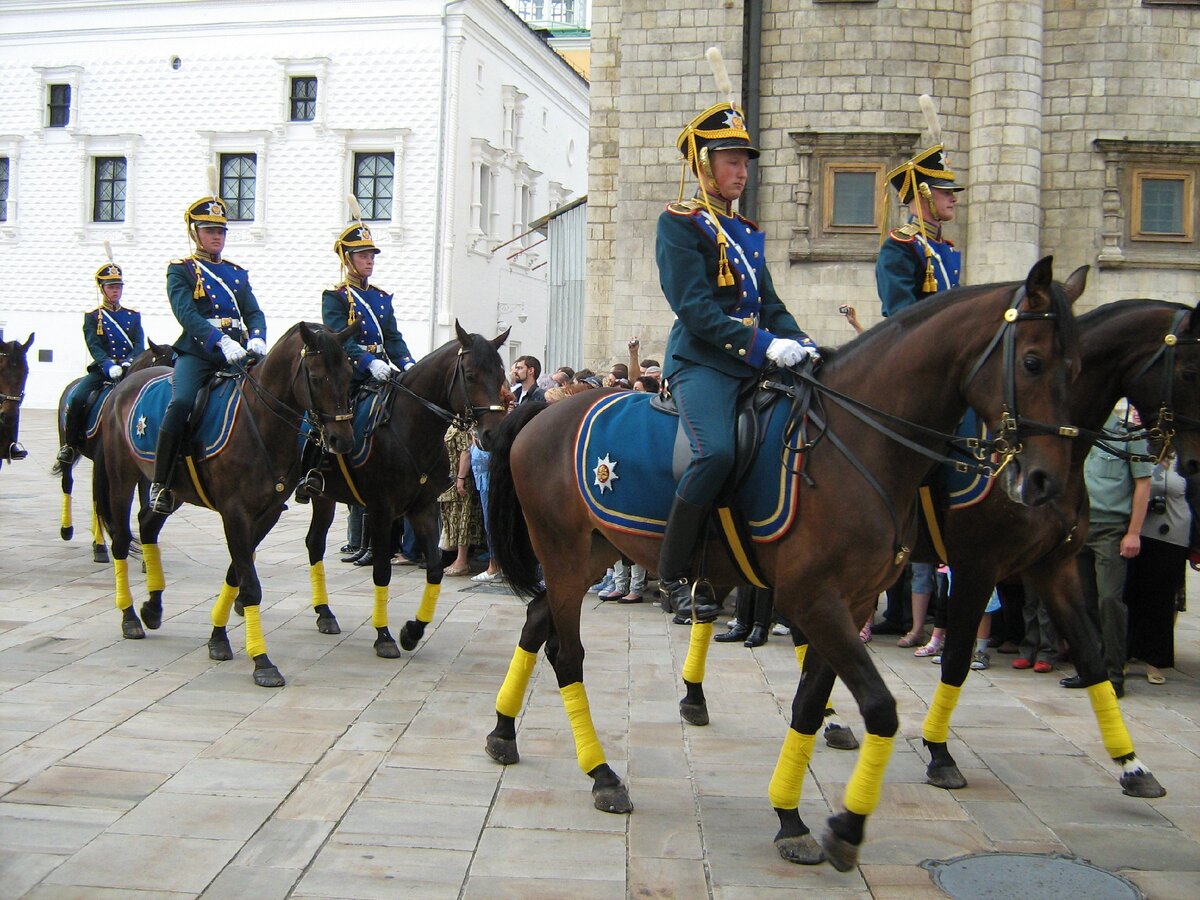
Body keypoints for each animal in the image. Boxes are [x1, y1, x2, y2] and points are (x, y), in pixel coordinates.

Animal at [53, 340, 174, 561]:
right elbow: (98, 500)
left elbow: (143, 502)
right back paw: (67, 529)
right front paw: (100, 546)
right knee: (68, 481)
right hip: (67, 444)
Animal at [93, 324, 355, 691]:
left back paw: (153, 608)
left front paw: (218, 637)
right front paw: (262, 662)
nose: (342, 441)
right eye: (316, 377)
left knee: (147, 525)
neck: (260, 423)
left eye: (348, 374)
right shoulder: (235, 513)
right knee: (120, 540)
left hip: (173, 490)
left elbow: (237, 572)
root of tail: (121, 388)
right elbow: (250, 583)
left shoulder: (266, 513)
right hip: (121, 479)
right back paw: (130, 616)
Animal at [300, 321, 511, 657]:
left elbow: (435, 569)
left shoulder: (423, 508)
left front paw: (412, 631)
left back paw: (325, 614)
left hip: (324, 497)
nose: (493, 433)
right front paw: (384, 636)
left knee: (313, 544)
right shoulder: (381, 510)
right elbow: (382, 571)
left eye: (501, 374)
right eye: (470, 375)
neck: (411, 427)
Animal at [482, 259, 1084, 873]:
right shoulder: (824, 597)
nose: (1043, 482)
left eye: (1077, 367)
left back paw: (505, 733)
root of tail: (541, 411)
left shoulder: (854, 601)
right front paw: (846, 824)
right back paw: (601, 774)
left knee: (537, 621)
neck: (859, 441)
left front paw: (792, 817)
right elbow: (880, 706)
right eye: (1033, 361)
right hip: (563, 552)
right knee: (565, 654)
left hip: (592, 554)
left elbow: (810, 701)